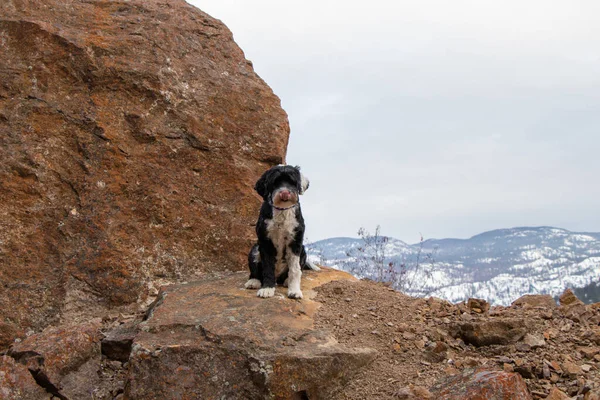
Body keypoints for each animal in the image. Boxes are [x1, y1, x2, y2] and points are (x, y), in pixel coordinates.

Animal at [244, 164, 318, 298]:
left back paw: (287, 281)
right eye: (275, 182)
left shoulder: (295, 242)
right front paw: (267, 289)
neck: (282, 211)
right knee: (255, 271)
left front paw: (294, 291)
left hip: (303, 251)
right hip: (255, 249)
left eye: (292, 182)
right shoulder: (265, 242)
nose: (284, 192)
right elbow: (268, 267)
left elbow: (295, 269)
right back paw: (254, 281)